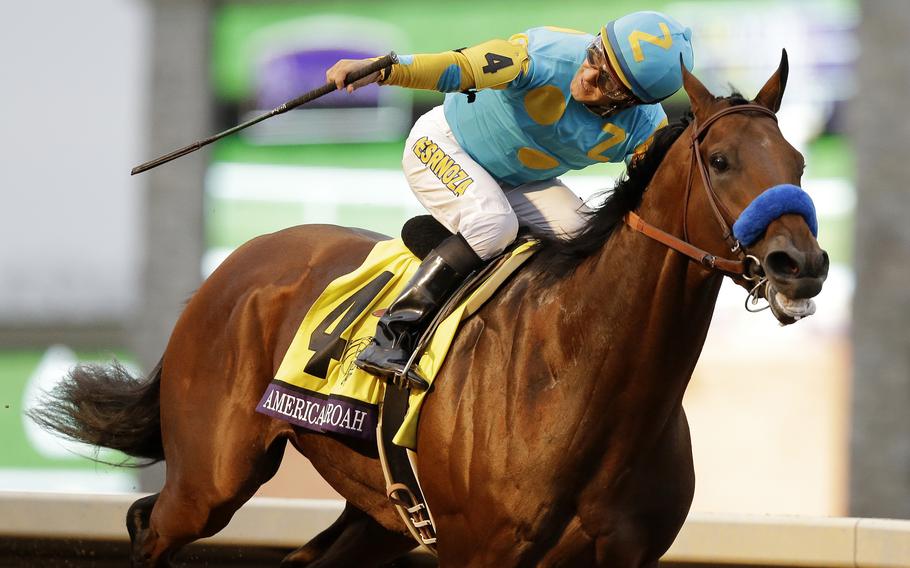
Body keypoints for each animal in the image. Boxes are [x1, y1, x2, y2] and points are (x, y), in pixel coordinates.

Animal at [32, 54, 828, 568]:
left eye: (798, 162)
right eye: (721, 161)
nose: (802, 264)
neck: (576, 374)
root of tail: (232, 266)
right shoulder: (482, 552)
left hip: (379, 506)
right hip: (212, 477)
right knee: (149, 523)